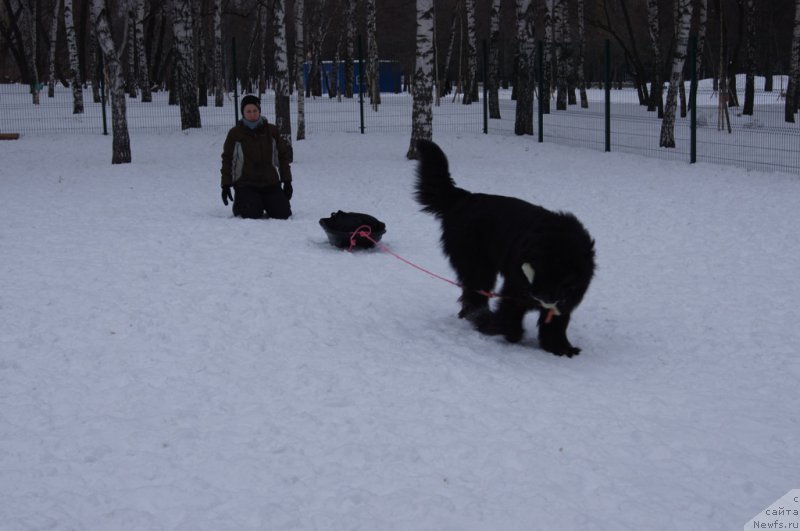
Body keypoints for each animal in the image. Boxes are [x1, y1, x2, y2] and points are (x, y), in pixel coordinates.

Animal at [412, 140, 592, 358]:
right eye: (541, 269)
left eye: (561, 277)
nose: (539, 296)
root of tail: (465, 198)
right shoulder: (515, 289)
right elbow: (508, 317)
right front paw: (499, 329)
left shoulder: (566, 298)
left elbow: (556, 324)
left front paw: (561, 348)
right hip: (477, 264)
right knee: (474, 292)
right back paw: (478, 315)